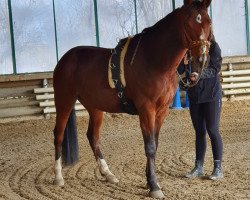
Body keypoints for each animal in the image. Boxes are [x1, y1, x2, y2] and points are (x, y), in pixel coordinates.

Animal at [53, 0, 213, 198]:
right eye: (189, 22)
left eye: (208, 22)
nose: (202, 58)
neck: (153, 60)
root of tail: (66, 58)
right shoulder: (146, 109)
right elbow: (150, 146)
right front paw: (154, 187)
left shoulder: (162, 111)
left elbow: (155, 144)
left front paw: (149, 181)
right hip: (64, 101)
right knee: (58, 134)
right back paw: (58, 177)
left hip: (95, 108)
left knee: (93, 137)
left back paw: (108, 174)